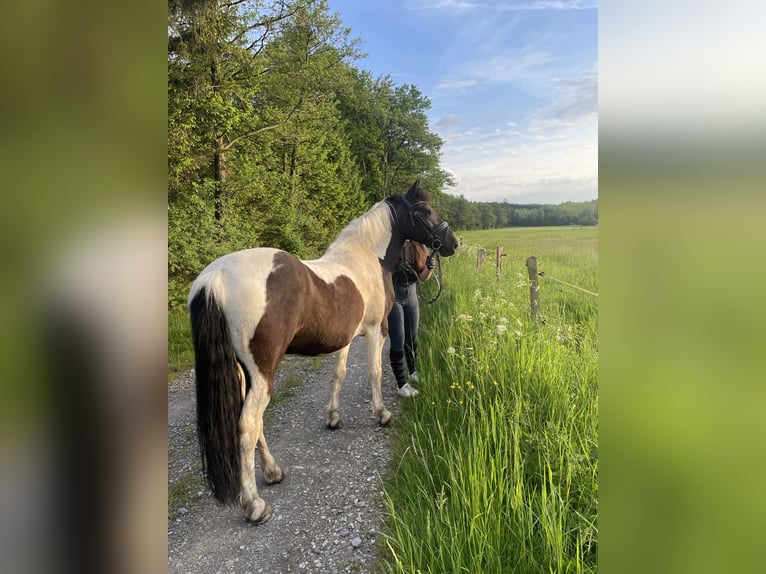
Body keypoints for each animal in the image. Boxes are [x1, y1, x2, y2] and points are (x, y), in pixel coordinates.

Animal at [188, 182, 460, 524]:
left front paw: (333, 418)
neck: (368, 257)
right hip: (263, 371)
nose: (452, 243)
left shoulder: (345, 338)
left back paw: (273, 472)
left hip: (242, 371)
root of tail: (218, 276)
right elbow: (375, 372)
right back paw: (255, 505)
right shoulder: (377, 330)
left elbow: (339, 374)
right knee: (248, 424)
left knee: (252, 421)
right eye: (425, 210)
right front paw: (382, 414)